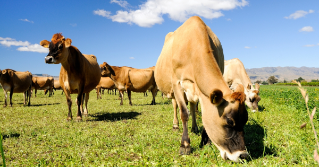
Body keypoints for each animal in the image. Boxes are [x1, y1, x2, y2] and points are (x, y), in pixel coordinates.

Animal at [154, 16, 249, 162]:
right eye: (229, 121)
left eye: (245, 119)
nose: (243, 155)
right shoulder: (177, 83)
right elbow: (184, 113)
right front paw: (185, 145)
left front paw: (206, 140)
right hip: (173, 90)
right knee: (175, 106)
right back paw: (175, 125)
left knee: (193, 106)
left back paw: (194, 127)